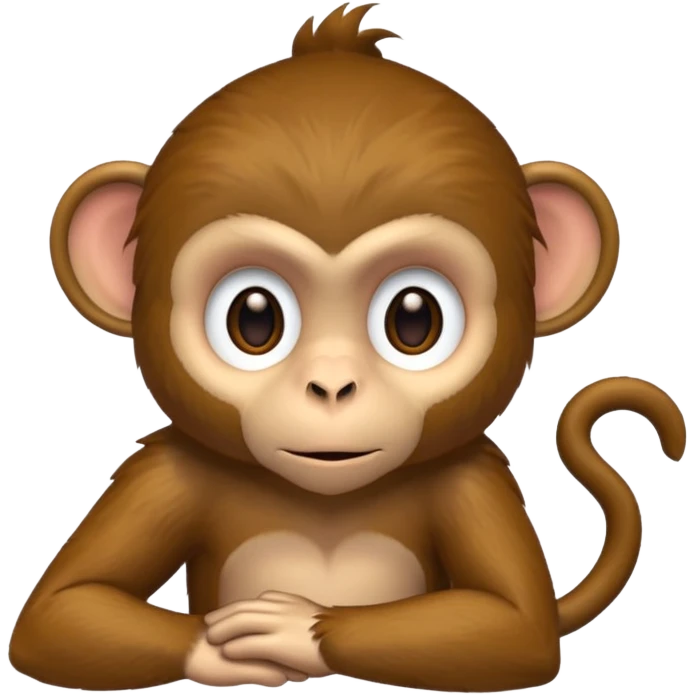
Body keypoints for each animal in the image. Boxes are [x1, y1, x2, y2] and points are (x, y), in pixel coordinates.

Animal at [12, 1, 687, 693]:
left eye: (413, 320)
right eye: (254, 318)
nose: (332, 385)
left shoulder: (473, 479)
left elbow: (517, 629)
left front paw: (296, 629)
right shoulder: (164, 473)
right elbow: (60, 613)